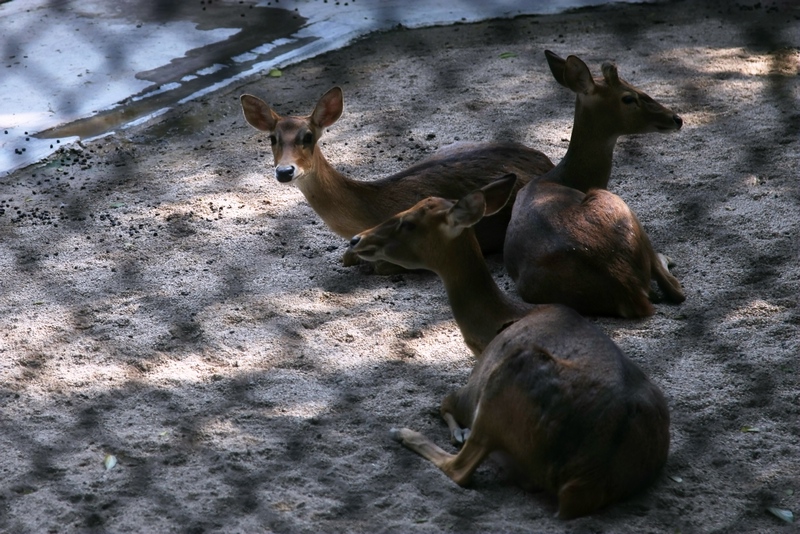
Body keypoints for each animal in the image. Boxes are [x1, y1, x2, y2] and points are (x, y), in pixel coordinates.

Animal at [347, 176, 670, 519]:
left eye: (408, 222)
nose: (355, 239)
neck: (497, 325)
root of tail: (583, 483)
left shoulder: (471, 389)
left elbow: (444, 403)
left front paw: (455, 432)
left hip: (505, 380)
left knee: (461, 470)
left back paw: (405, 433)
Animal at [503, 50, 685, 318]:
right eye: (628, 97)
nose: (677, 118)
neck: (564, 177)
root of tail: (628, 290)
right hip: (620, 204)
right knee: (674, 289)